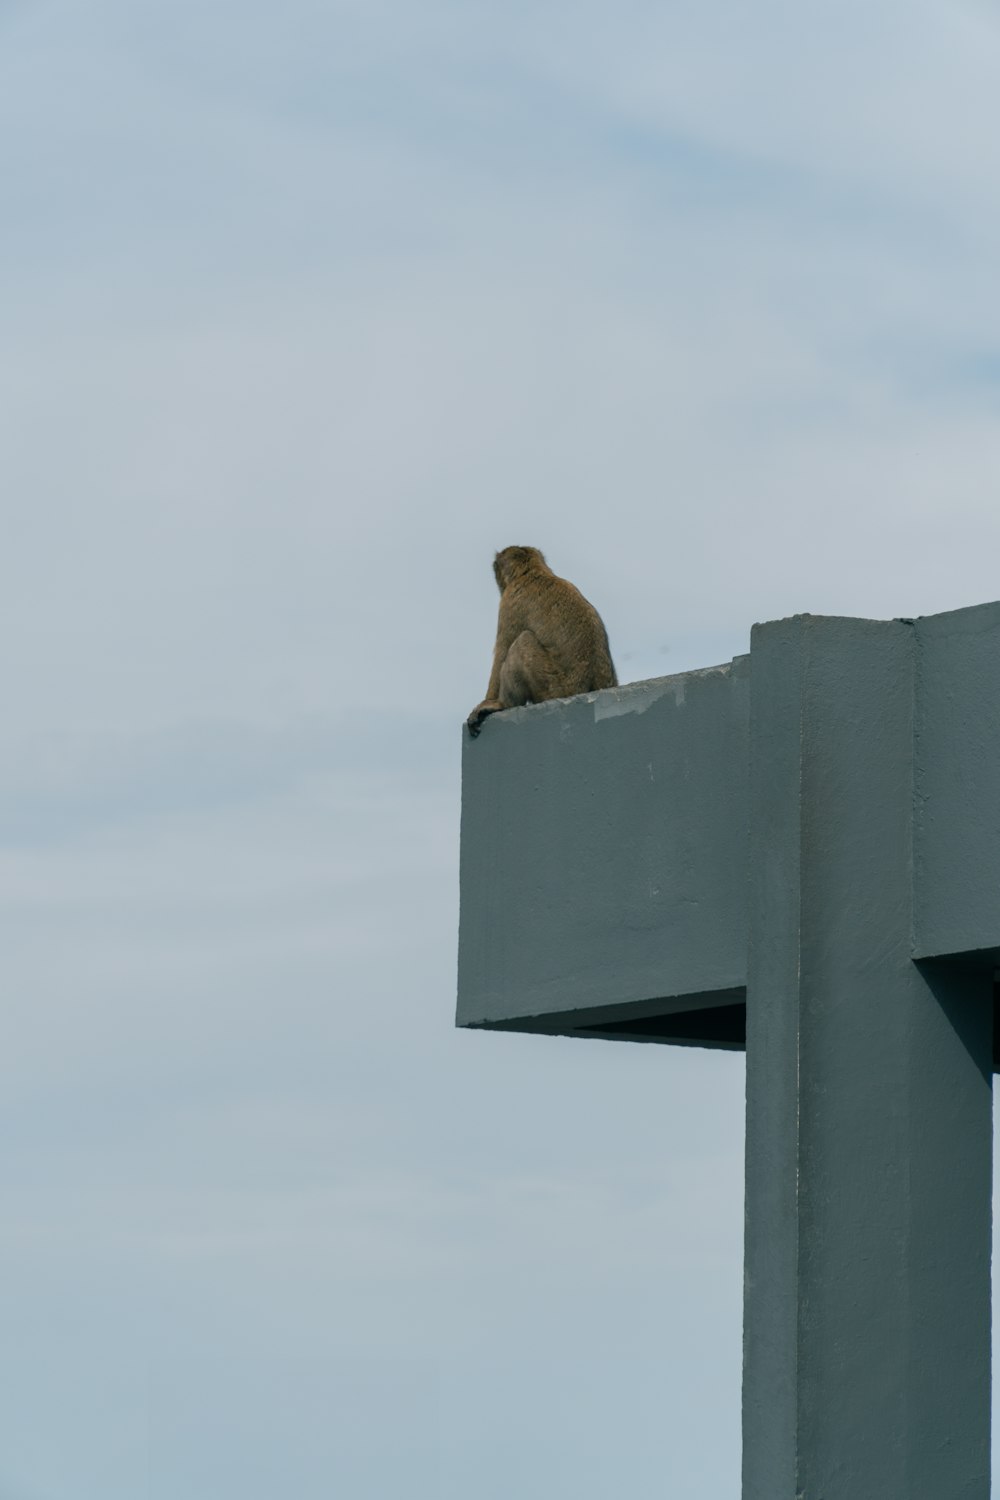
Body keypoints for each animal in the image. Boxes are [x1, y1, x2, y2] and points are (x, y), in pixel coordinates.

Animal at [470, 549, 617, 741]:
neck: (533, 572)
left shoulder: (510, 602)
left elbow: (502, 652)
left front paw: (489, 702)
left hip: (553, 689)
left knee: (522, 641)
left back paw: (505, 704)